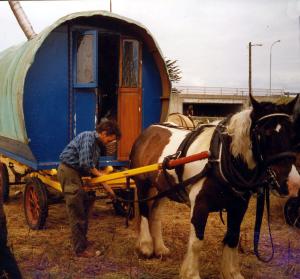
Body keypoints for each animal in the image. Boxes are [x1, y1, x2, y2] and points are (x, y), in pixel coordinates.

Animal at [129, 94, 300, 279]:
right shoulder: (200, 205)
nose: (292, 184)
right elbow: (196, 242)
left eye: (293, 134)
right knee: (144, 211)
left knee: (155, 214)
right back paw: (146, 246)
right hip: (143, 184)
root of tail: (148, 131)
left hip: (163, 189)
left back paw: (160, 248)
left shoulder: (238, 206)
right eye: (266, 133)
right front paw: (191, 274)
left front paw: (232, 273)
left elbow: (233, 237)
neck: (219, 158)